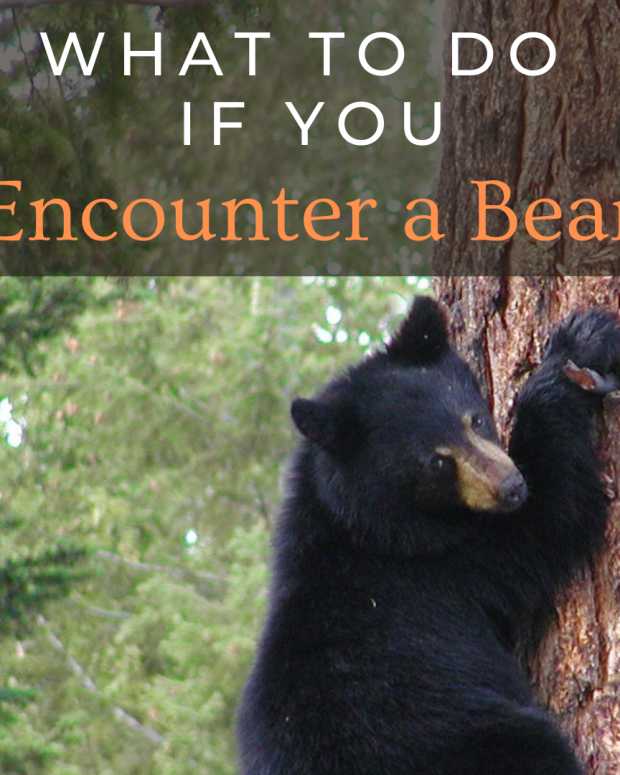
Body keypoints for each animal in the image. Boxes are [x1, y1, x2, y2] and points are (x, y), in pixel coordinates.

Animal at [237, 296, 620, 775]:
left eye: (475, 419)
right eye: (437, 462)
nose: (512, 487)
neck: (355, 522)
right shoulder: (444, 562)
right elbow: (551, 513)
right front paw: (580, 345)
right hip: (465, 737)